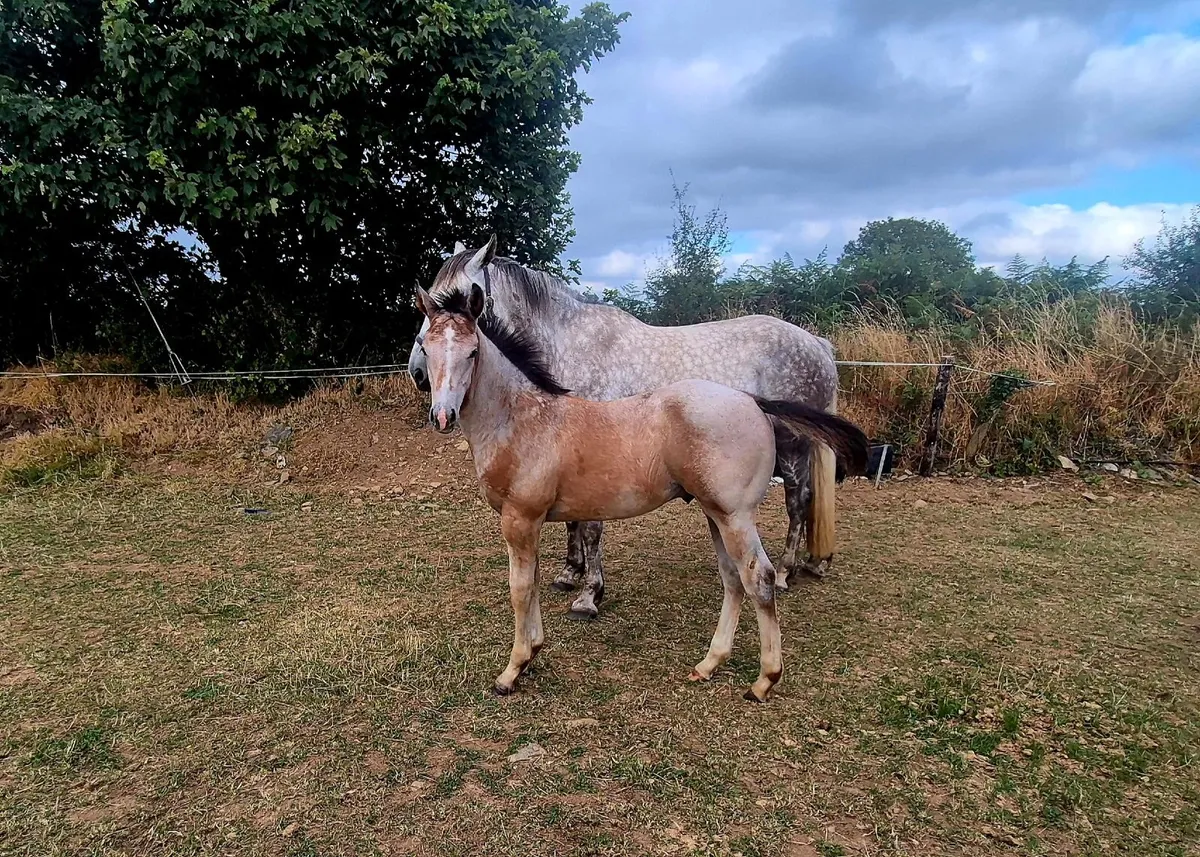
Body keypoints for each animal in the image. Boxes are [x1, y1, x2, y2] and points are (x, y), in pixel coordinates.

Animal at [408, 237, 842, 620]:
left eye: (465, 295)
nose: (418, 372)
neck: (569, 344)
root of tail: (817, 344)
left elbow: (591, 527)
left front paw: (589, 595)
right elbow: (574, 520)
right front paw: (570, 573)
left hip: (792, 446)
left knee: (798, 499)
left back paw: (785, 571)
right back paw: (811, 563)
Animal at [415, 281, 869, 700]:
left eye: (473, 352)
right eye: (426, 345)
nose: (443, 415)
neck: (522, 419)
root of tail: (752, 399)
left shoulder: (520, 519)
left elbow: (521, 589)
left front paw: (514, 670)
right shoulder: (535, 522)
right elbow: (537, 581)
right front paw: (534, 652)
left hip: (737, 514)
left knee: (760, 575)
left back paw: (764, 680)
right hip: (715, 514)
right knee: (732, 580)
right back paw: (709, 664)